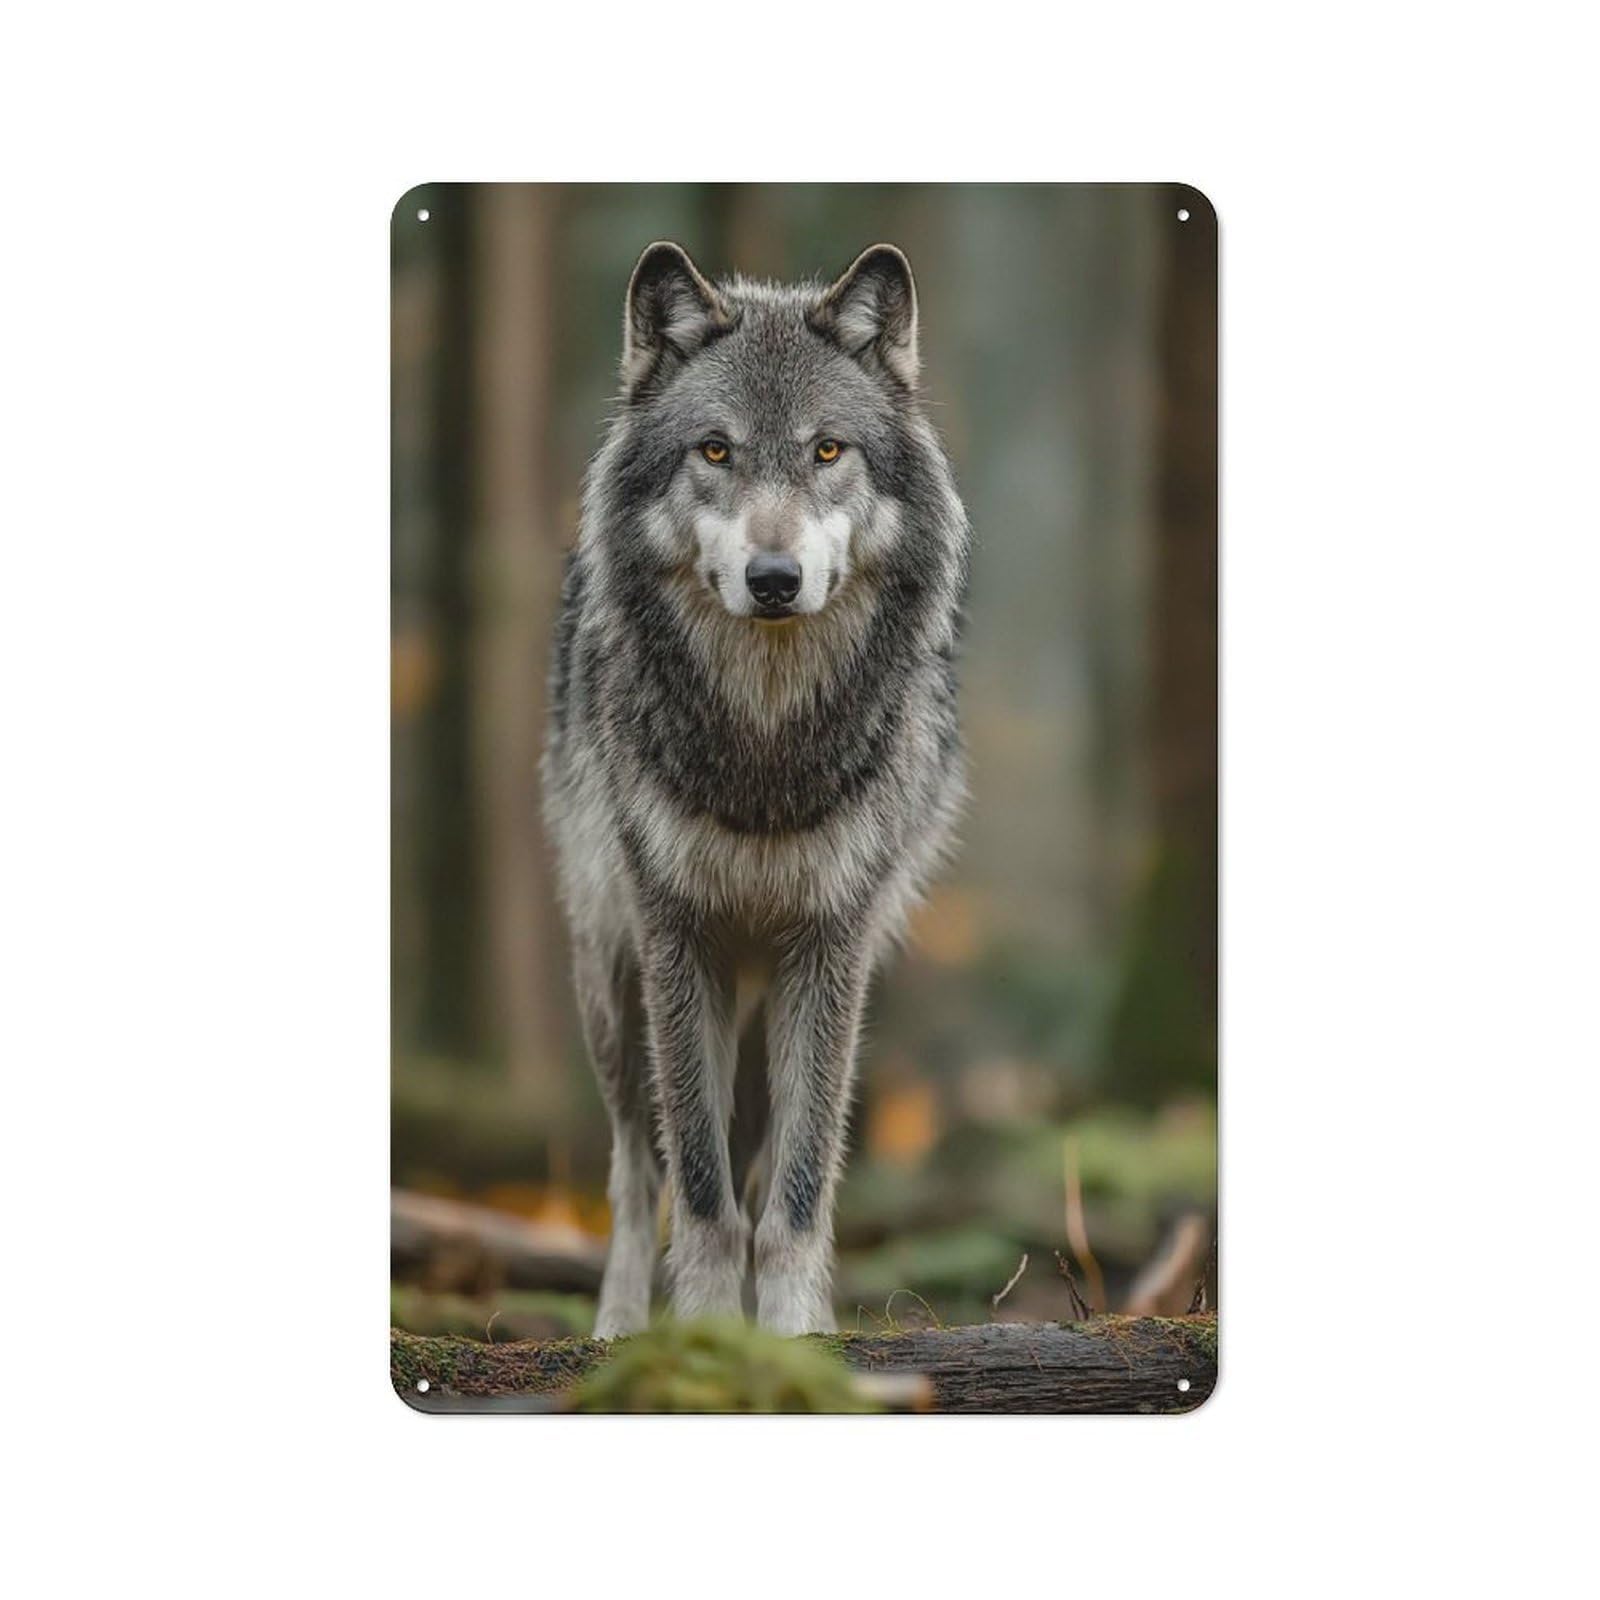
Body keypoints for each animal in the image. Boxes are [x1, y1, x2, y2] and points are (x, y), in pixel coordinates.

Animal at [543, 240, 969, 1336]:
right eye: (716, 452)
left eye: (826, 452)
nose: (773, 578)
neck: (764, 751)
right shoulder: (674, 934)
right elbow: (693, 1180)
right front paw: (698, 1332)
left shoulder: (831, 943)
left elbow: (801, 1182)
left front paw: (788, 1336)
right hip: (610, 983)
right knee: (631, 1169)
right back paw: (619, 1324)